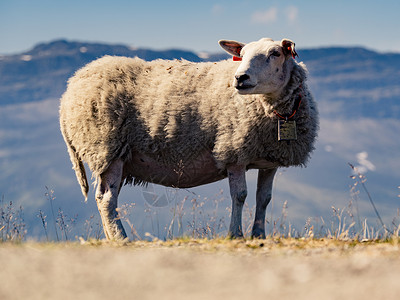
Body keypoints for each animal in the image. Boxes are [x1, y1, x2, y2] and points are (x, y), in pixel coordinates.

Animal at [59, 37, 318, 240]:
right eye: (241, 55)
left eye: (275, 53)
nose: (240, 78)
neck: (272, 110)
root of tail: (69, 90)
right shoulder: (233, 151)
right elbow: (240, 196)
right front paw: (236, 235)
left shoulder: (268, 160)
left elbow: (264, 199)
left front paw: (259, 235)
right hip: (106, 148)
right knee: (107, 200)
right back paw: (121, 238)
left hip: (118, 156)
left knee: (103, 198)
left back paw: (111, 238)